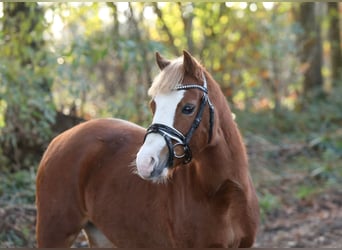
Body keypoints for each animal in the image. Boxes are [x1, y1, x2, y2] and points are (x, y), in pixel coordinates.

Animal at [35, 49, 260, 247]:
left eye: (188, 108)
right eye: (154, 105)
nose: (145, 162)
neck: (224, 195)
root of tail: (59, 140)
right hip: (54, 235)